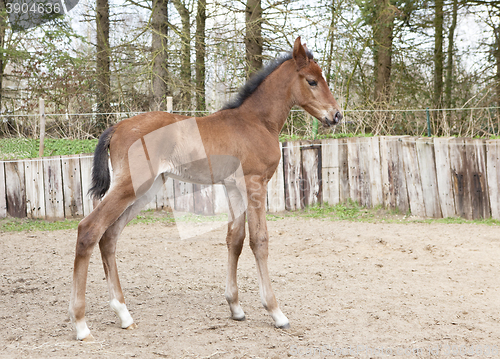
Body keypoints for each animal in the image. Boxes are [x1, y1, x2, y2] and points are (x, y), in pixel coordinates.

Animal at [69, 37, 344, 344]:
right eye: (312, 81)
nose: (336, 115)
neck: (257, 121)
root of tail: (117, 125)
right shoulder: (255, 183)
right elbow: (259, 241)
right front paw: (276, 312)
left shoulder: (234, 187)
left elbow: (235, 240)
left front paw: (236, 308)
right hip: (131, 186)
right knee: (90, 229)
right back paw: (81, 325)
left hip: (145, 191)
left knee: (110, 236)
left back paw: (124, 314)